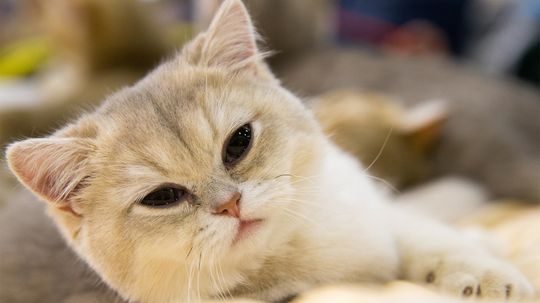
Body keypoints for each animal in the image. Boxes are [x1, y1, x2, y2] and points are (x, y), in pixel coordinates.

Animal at [4, 0, 532, 302]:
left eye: (238, 142)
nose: (230, 205)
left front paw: (484, 269)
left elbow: (419, 232)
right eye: (162, 198)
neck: (295, 242)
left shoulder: (361, 201)